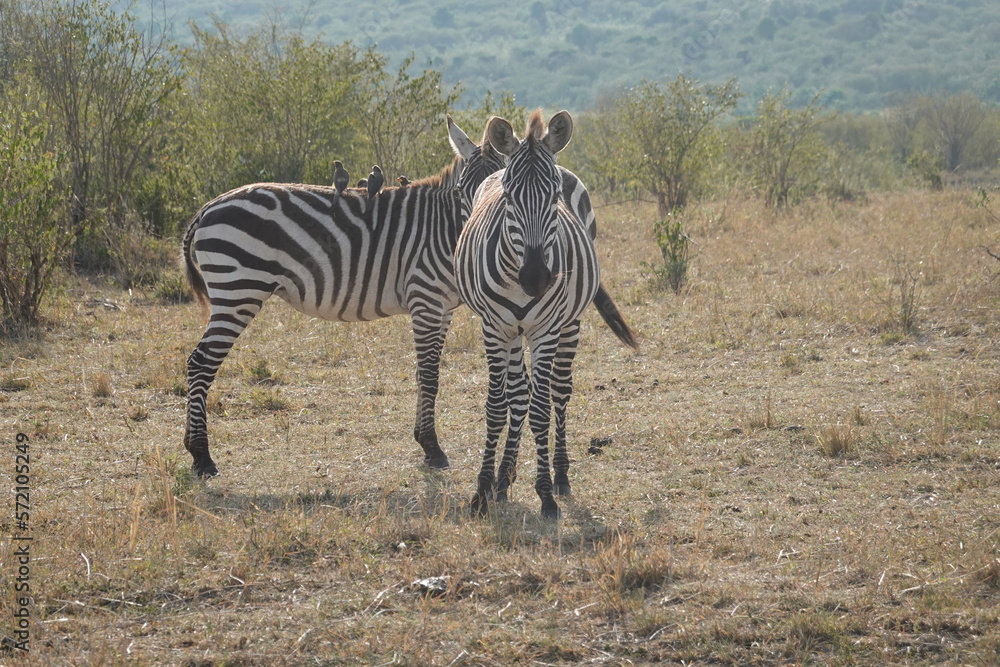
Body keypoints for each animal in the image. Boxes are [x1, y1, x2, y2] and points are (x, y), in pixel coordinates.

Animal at [455, 109, 611, 519]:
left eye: (555, 196)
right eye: (509, 196)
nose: (536, 278)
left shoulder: (545, 330)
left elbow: (541, 409)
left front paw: (544, 493)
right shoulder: (495, 328)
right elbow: (498, 405)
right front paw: (482, 489)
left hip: (569, 324)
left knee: (558, 391)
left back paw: (560, 475)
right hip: (513, 332)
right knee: (518, 393)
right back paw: (503, 478)